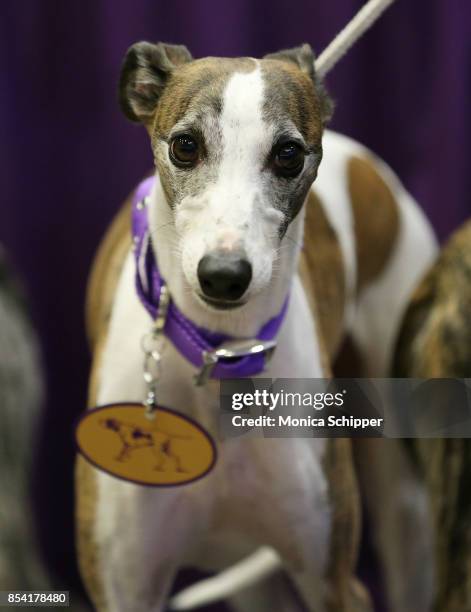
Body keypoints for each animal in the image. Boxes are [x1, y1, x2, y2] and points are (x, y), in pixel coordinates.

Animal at [76, 40, 438, 608]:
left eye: (288, 154)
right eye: (185, 146)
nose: (224, 277)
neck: (217, 352)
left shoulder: (334, 581)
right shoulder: (124, 585)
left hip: (398, 487)